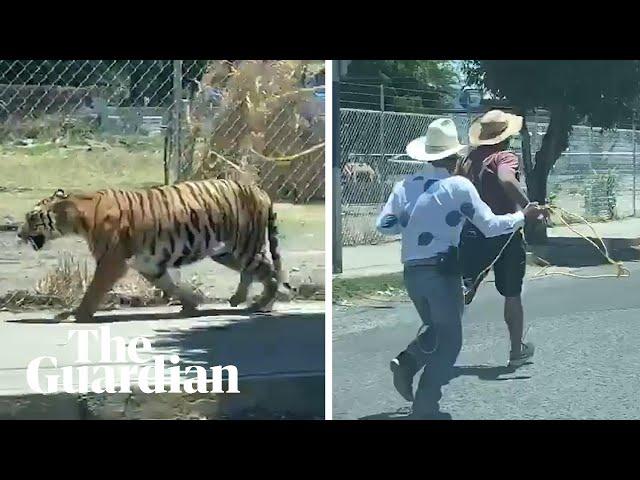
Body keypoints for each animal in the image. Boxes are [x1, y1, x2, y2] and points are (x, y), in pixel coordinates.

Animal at [16, 179, 292, 322]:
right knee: (253, 271)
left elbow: (93, 290)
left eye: (31, 218)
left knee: (270, 272)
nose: (18, 234)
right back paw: (239, 299)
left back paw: (262, 305)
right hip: (225, 252)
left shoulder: (111, 262)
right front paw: (192, 305)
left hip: (243, 245)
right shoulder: (149, 264)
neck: (79, 217)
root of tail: (259, 190)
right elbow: (171, 285)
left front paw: (78, 314)